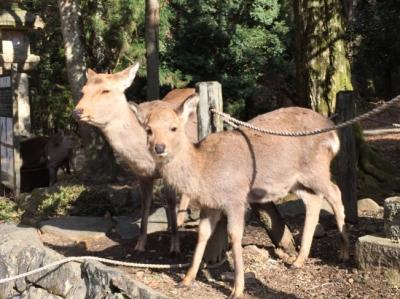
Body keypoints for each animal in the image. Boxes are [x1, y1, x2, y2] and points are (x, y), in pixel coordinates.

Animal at [73, 62, 197, 253]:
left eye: (106, 90)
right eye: (83, 91)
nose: (77, 111)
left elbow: (170, 201)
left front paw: (175, 246)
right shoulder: (141, 175)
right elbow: (145, 205)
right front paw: (140, 244)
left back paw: (182, 221)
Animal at [133, 95, 348, 298]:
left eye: (174, 128)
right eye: (148, 130)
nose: (159, 147)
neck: (202, 170)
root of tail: (333, 133)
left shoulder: (235, 199)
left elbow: (235, 236)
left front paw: (237, 289)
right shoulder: (209, 205)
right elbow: (202, 234)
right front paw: (186, 280)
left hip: (316, 168)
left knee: (335, 192)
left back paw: (344, 253)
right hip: (296, 181)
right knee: (314, 200)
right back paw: (298, 260)